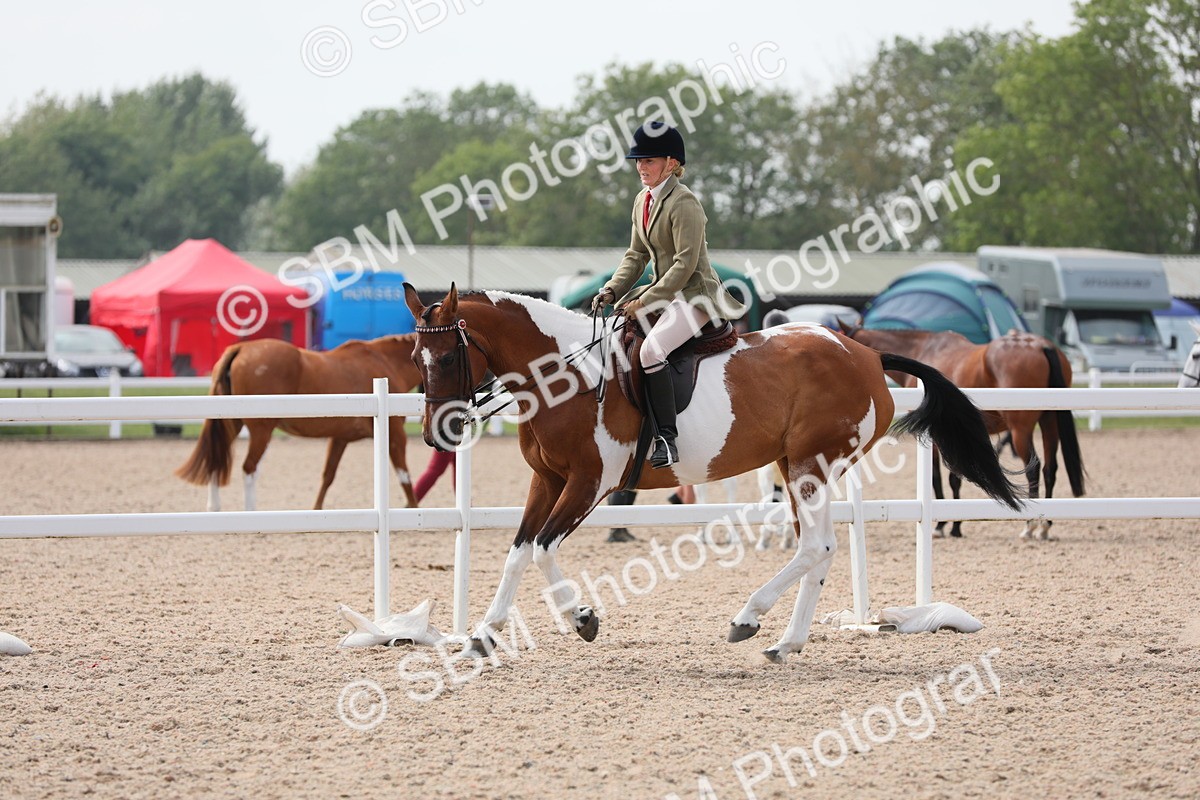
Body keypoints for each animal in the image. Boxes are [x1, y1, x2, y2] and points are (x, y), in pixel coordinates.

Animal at [175, 335, 422, 511]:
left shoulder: (339, 438)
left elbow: (328, 476)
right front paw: (414, 508)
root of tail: (242, 349)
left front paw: (316, 509)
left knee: (216, 460)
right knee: (249, 468)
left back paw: (214, 507)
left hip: (231, 424)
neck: (385, 362)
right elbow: (404, 474)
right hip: (261, 430)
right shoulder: (395, 434)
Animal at [403, 284, 1022, 664]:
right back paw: (784, 642)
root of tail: (865, 354)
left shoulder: (589, 484)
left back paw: (750, 619)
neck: (563, 376)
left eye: (450, 358)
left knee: (816, 546)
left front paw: (582, 619)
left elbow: (543, 549)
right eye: (415, 360)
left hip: (810, 464)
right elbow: (519, 551)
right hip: (797, 466)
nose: (438, 433)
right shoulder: (547, 481)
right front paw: (483, 636)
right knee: (818, 548)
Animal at [840, 325, 1084, 540]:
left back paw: (1030, 525)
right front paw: (954, 525)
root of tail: (1041, 345)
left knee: (1033, 470)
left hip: (1020, 430)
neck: (924, 348)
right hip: (1049, 422)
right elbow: (953, 478)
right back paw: (1045, 525)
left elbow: (940, 478)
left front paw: (944, 526)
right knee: (1050, 469)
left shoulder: (935, 437)